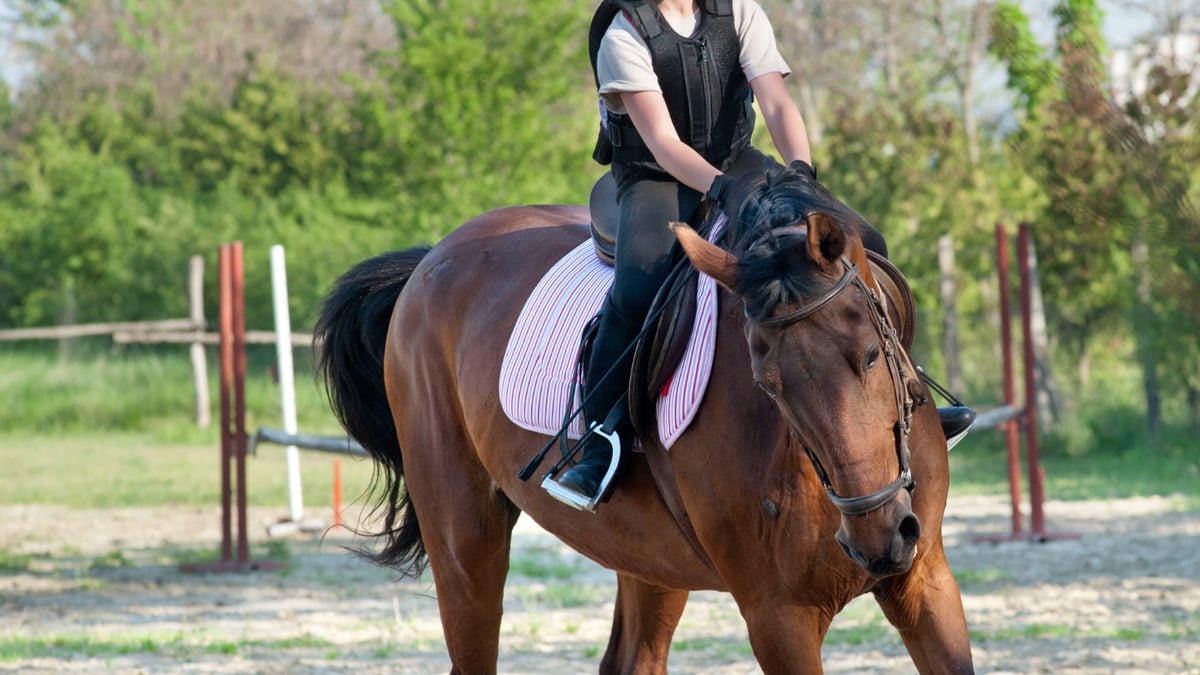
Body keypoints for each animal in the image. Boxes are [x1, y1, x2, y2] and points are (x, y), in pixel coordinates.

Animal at [315, 164, 975, 674]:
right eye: (767, 384)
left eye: (870, 355)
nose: (878, 540)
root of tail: (431, 260)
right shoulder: (778, 617)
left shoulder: (926, 581)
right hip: (463, 541)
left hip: (651, 557)